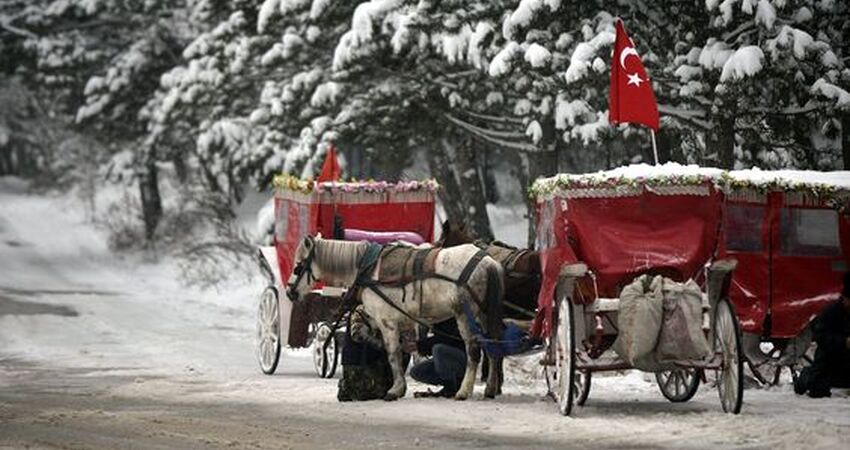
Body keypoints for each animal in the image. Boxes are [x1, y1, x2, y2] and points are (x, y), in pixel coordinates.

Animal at [288, 236, 500, 400]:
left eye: (298, 266)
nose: (290, 292)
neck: (367, 267)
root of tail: (488, 261)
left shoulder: (387, 322)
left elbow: (393, 354)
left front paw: (396, 389)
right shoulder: (402, 323)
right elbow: (400, 352)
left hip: (465, 316)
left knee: (473, 351)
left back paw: (463, 391)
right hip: (484, 316)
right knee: (492, 347)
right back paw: (490, 388)